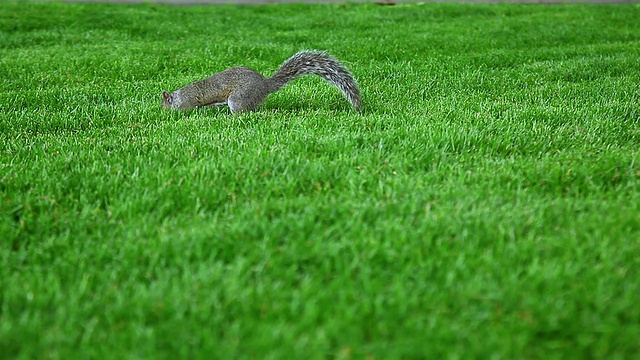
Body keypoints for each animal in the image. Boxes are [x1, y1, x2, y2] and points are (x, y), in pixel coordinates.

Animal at [161, 50, 360, 114]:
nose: (161, 111)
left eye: (164, 104)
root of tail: (265, 84)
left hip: (238, 98)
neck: (178, 96)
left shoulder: (187, 103)